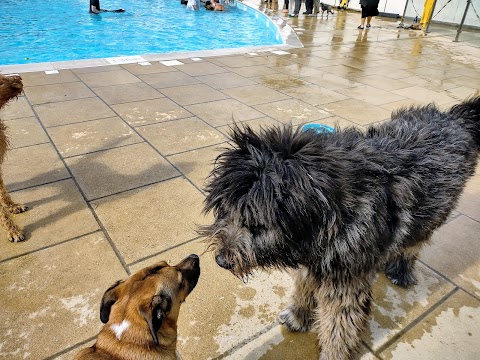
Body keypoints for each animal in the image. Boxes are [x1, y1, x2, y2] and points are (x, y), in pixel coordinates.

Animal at [200, 97, 480, 358]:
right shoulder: (316, 259)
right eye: (225, 210)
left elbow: (339, 326)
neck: (331, 209)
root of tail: (455, 117)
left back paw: (400, 270)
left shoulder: (344, 280)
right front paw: (298, 315)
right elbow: (304, 286)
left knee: (413, 243)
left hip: (431, 215)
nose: (221, 260)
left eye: (256, 223)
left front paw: (332, 352)